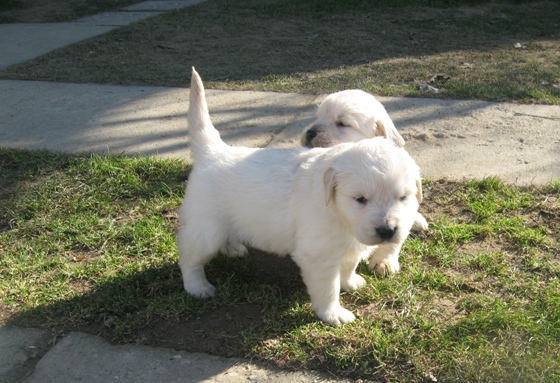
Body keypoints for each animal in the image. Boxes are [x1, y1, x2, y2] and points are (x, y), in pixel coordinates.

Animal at [177, 67, 422, 326]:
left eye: (403, 197)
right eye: (360, 199)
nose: (387, 231)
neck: (339, 214)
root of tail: (213, 150)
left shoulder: (351, 243)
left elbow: (349, 264)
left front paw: (350, 281)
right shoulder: (319, 255)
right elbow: (328, 288)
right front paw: (333, 313)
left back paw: (232, 248)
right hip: (205, 229)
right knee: (189, 257)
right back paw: (198, 287)